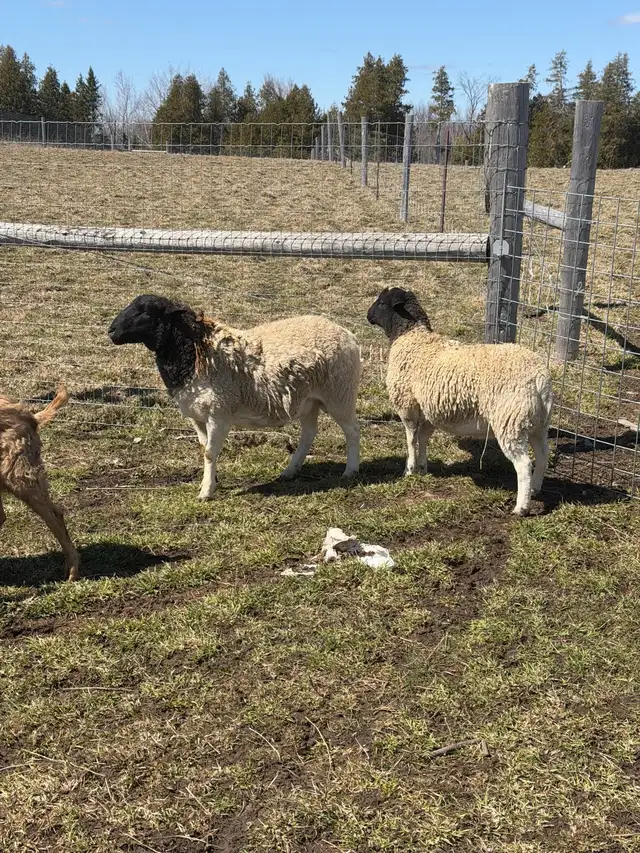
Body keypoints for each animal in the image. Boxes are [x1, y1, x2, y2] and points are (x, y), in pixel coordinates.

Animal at [108, 294, 361, 500]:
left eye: (145, 311)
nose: (111, 331)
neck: (195, 352)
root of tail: (348, 335)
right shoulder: (197, 416)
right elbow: (205, 449)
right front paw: (211, 481)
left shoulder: (219, 413)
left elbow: (210, 453)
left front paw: (206, 493)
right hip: (310, 401)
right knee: (308, 434)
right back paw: (289, 472)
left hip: (340, 394)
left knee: (352, 431)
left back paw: (350, 471)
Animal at [367, 287, 553, 516]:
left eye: (382, 303)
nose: (368, 315)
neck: (413, 337)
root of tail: (540, 379)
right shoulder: (428, 410)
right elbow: (423, 438)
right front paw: (422, 468)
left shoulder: (407, 404)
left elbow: (411, 439)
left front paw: (409, 470)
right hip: (537, 423)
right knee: (543, 455)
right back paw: (535, 488)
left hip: (510, 421)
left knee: (524, 464)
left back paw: (521, 507)